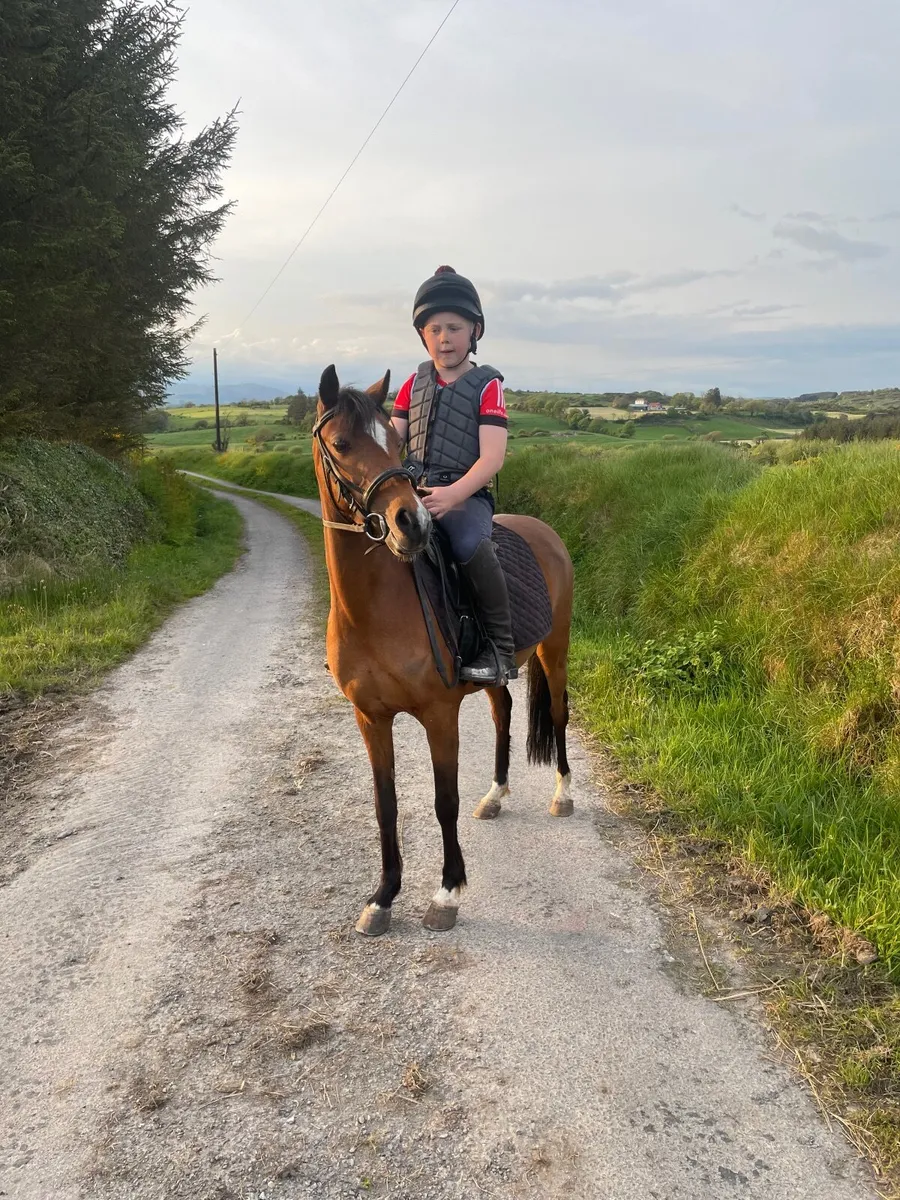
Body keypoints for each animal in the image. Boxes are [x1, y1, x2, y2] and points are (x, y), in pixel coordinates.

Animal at [313, 365, 574, 937]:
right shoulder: (370, 717)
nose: (412, 521)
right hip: (500, 673)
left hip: (556, 648)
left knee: (558, 715)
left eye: (395, 443)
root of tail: (545, 532)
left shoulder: (438, 714)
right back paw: (496, 794)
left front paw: (448, 892)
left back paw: (563, 794)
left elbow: (443, 801)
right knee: (503, 713)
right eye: (341, 443)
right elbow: (385, 806)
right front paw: (383, 897)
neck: (375, 608)